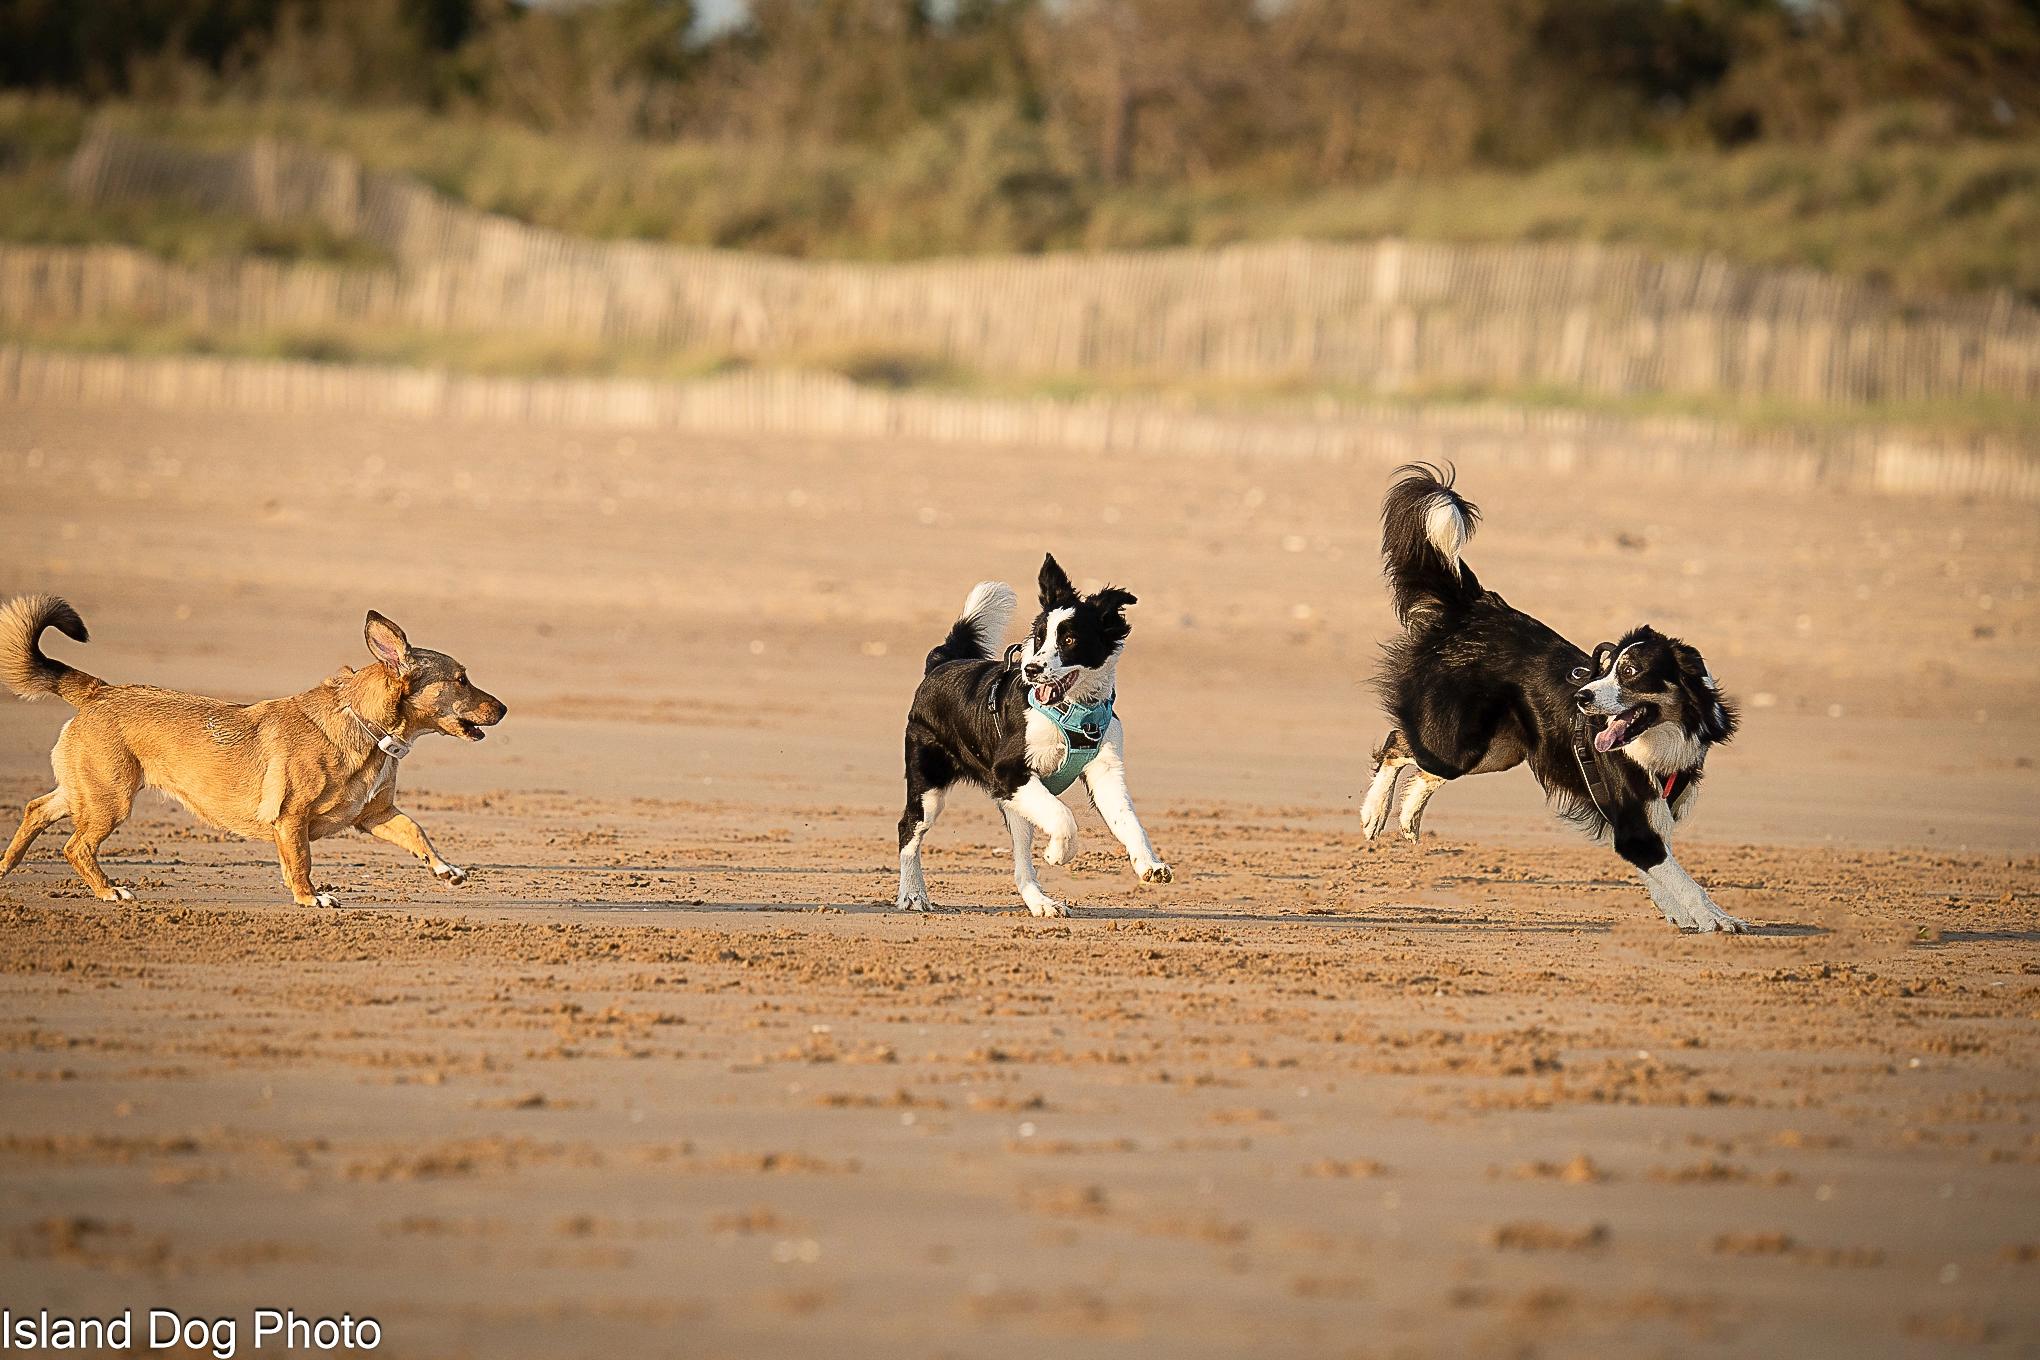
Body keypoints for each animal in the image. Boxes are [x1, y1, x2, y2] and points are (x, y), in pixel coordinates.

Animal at [0, 591, 505, 905]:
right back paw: (109, 891)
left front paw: (445, 869)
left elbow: (417, 832)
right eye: (461, 679)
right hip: (110, 800)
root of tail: (98, 690)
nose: (504, 708)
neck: (366, 727)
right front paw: (310, 898)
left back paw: (5, 867)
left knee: (35, 810)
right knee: (76, 847)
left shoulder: (375, 815)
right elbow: (301, 862)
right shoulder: (291, 818)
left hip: (86, 792)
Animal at [897, 550, 1175, 913]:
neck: (1074, 710)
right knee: (908, 829)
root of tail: (941, 664)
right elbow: (1063, 816)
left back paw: (1041, 903)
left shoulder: (1105, 773)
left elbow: (1128, 820)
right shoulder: (1008, 772)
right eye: (1040, 638)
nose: (1030, 669)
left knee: (1021, 865)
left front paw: (1150, 865)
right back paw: (912, 894)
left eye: (1069, 639)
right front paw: (1059, 853)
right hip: (931, 786)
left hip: (1016, 807)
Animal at [1362, 462, 1746, 929]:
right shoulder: (1634, 827)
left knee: (1420, 766)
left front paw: (1686, 916)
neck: (1660, 742)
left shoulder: (1649, 819)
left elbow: (1664, 876)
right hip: (1458, 744)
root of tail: (1476, 609)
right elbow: (1684, 880)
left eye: (1630, 673)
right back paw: (1374, 814)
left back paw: (1408, 817)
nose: (1582, 698)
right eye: (1607, 667)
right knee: (1397, 744)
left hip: (1497, 750)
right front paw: (1717, 920)